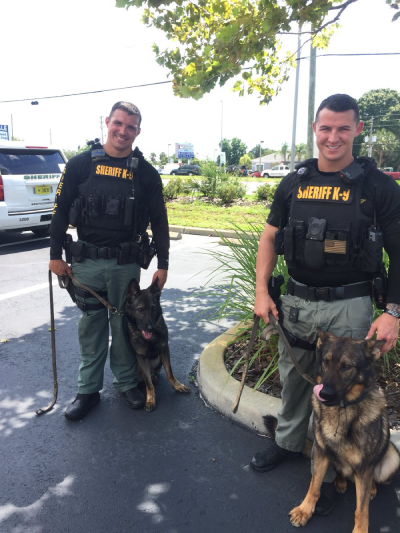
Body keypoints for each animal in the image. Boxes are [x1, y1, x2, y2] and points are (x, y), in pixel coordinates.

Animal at [124, 276, 190, 410]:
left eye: (153, 309)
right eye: (140, 310)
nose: (151, 328)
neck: (150, 338)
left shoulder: (164, 350)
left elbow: (169, 372)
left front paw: (177, 386)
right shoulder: (142, 357)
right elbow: (148, 383)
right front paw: (150, 400)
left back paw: (154, 375)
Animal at [288, 332, 400, 532]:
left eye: (347, 366)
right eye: (326, 362)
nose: (323, 394)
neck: (341, 410)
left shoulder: (364, 468)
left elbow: (361, 509)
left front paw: (360, 530)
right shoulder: (321, 452)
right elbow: (314, 485)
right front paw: (304, 510)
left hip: (392, 460)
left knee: (372, 479)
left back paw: (371, 487)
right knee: (339, 471)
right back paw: (340, 481)